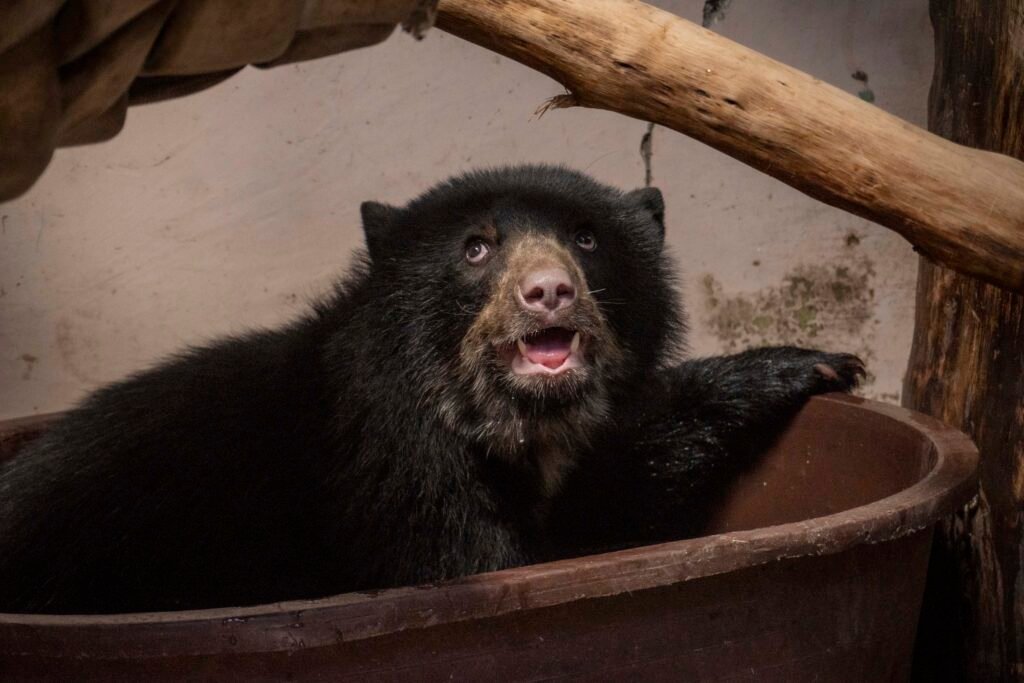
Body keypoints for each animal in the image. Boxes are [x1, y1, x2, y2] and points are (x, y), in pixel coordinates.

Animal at [0, 165, 863, 614]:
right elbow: (511, 558)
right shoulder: (393, 471)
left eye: (587, 238)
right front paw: (794, 364)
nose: (549, 291)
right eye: (476, 248)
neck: (508, 420)